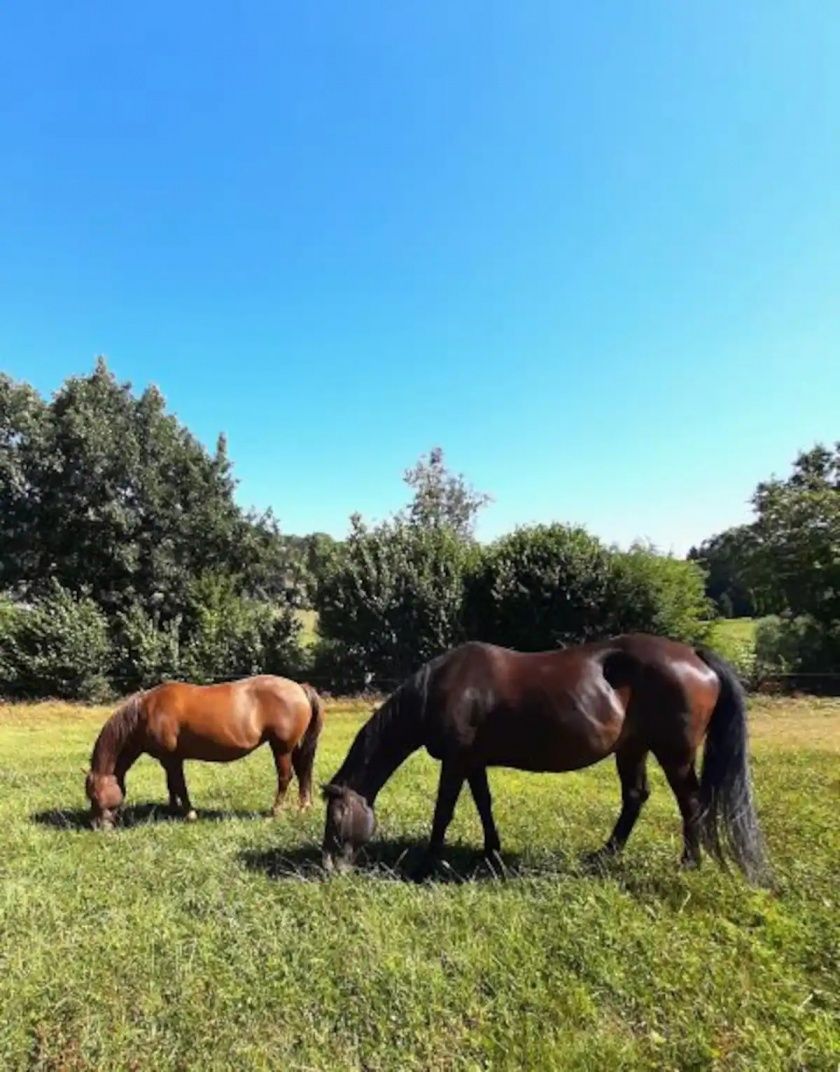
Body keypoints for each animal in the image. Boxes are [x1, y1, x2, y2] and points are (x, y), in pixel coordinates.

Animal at [85, 673, 321, 831]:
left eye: (94, 795)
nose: (97, 826)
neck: (144, 713)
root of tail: (299, 688)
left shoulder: (172, 759)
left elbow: (180, 785)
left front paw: (189, 813)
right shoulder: (168, 760)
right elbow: (171, 785)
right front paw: (173, 809)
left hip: (281, 747)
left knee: (285, 777)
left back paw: (275, 812)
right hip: (293, 747)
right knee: (303, 771)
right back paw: (303, 807)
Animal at [321, 634, 767, 879]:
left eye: (336, 819)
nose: (330, 867)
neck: (443, 688)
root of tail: (695, 655)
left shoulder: (457, 761)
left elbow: (443, 810)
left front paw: (428, 864)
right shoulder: (474, 762)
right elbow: (483, 804)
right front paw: (492, 852)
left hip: (674, 753)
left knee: (690, 803)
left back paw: (689, 862)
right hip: (632, 749)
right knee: (635, 797)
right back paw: (605, 854)